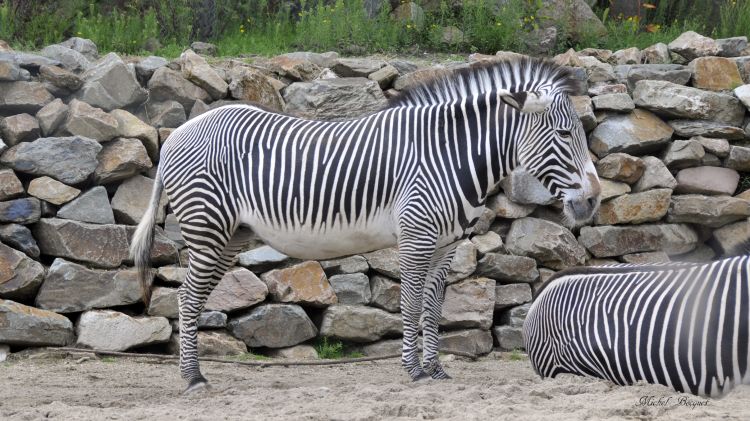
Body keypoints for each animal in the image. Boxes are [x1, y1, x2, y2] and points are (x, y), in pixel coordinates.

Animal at [132, 57, 604, 392]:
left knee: (193, 299)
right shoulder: (416, 237)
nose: (593, 201)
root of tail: (177, 132)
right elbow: (410, 305)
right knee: (186, 300)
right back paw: (193, 378)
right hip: (207, 229)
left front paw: (435, 370)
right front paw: (414, 371)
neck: (449, 155)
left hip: (230, 235)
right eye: (565, 134)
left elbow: (433, 309)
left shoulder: (445, 246)